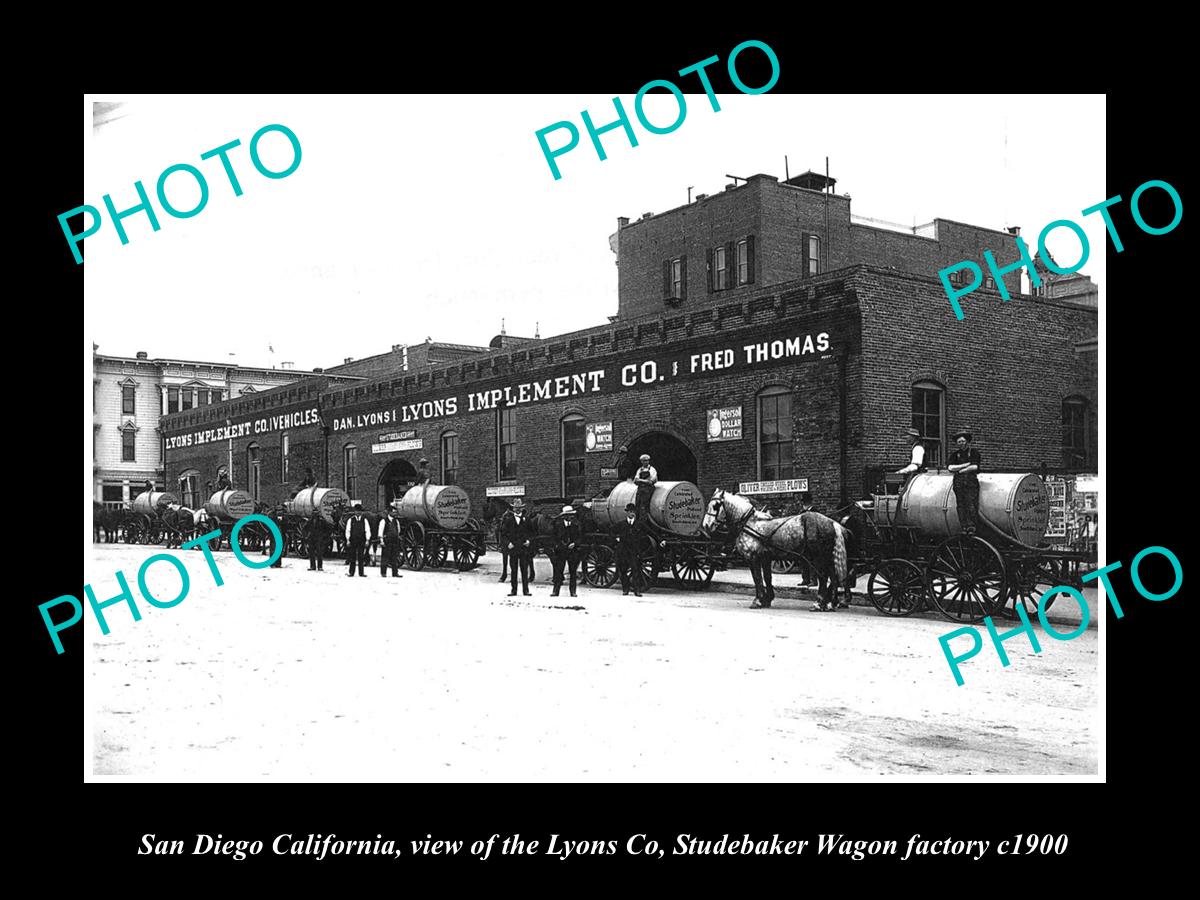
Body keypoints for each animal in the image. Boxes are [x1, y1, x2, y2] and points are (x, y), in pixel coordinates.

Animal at [705, 494, 849, 614]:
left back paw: (818, 604)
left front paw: (758, 601)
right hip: (827, 557)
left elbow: (757, 578)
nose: (706, 526)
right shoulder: (765, 558)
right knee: (833, 577)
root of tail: (832, 522)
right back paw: (830, 604)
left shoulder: (753, 558)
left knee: (823, 578)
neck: (750, 523)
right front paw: (767, 599)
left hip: (818, 558)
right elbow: (767, 578)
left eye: (716, 506)